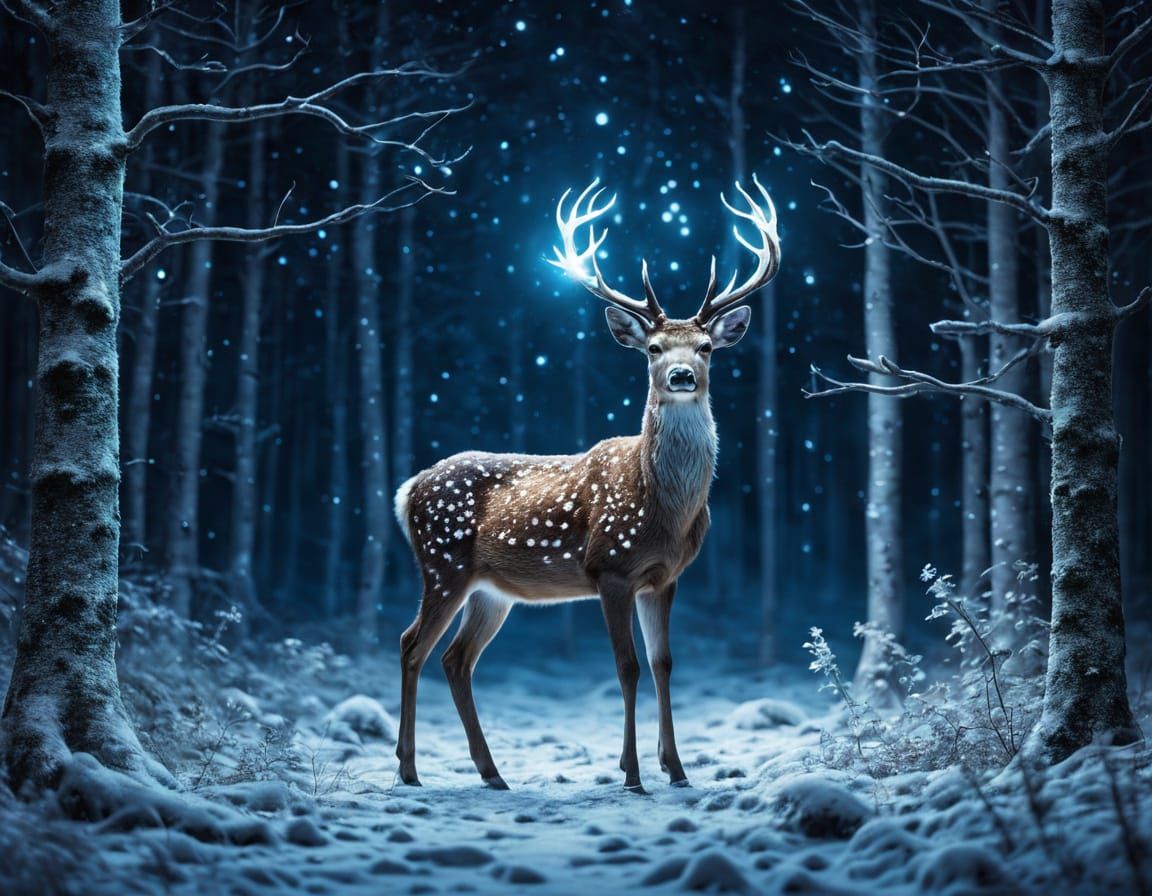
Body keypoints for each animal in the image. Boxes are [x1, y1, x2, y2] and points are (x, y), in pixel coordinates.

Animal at [393, 176, 780, 793]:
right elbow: (626, 667)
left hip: (491, 590)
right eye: (653, 349)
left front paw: (676, 770)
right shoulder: (609, 568)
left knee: (456, 659)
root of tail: (407, 490)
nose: (681, 376)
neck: (664, 509)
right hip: (442, 563)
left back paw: (492, 773)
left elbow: (664, 664)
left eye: (705, 348)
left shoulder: (664, 577)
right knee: (412, 646)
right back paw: (408, 770)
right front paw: (633, 775)